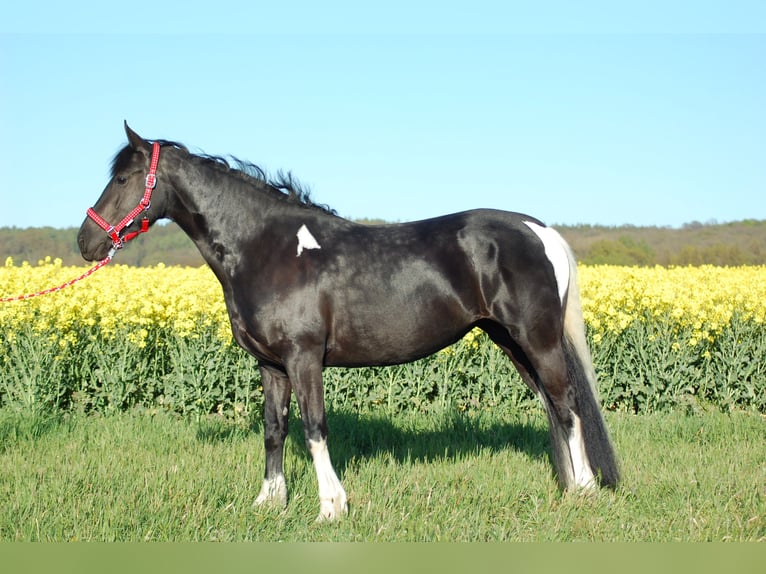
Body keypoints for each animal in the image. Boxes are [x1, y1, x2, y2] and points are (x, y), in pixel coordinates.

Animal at [77, 122, 619, 521]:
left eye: (122, 179)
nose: (86, 241)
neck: (268, 248)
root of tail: (539, 230)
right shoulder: (271, 366)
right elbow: (274, 429)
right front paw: (268, 503)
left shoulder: (304, 359)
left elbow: (315, 428)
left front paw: (331, 508)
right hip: (512, 342)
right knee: (553, 405)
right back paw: (570, 487)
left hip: (538, 339)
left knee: (567, 405)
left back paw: (585, 491)